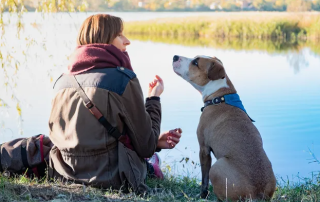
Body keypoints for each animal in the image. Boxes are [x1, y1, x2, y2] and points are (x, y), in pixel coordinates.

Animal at [172, 54, 276, 201]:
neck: (219, 96)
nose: (175, 56)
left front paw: (202, 195)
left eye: (196, 62)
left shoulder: (204, 148)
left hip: (217, 167)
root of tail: (257, 195)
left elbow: (204, 179)